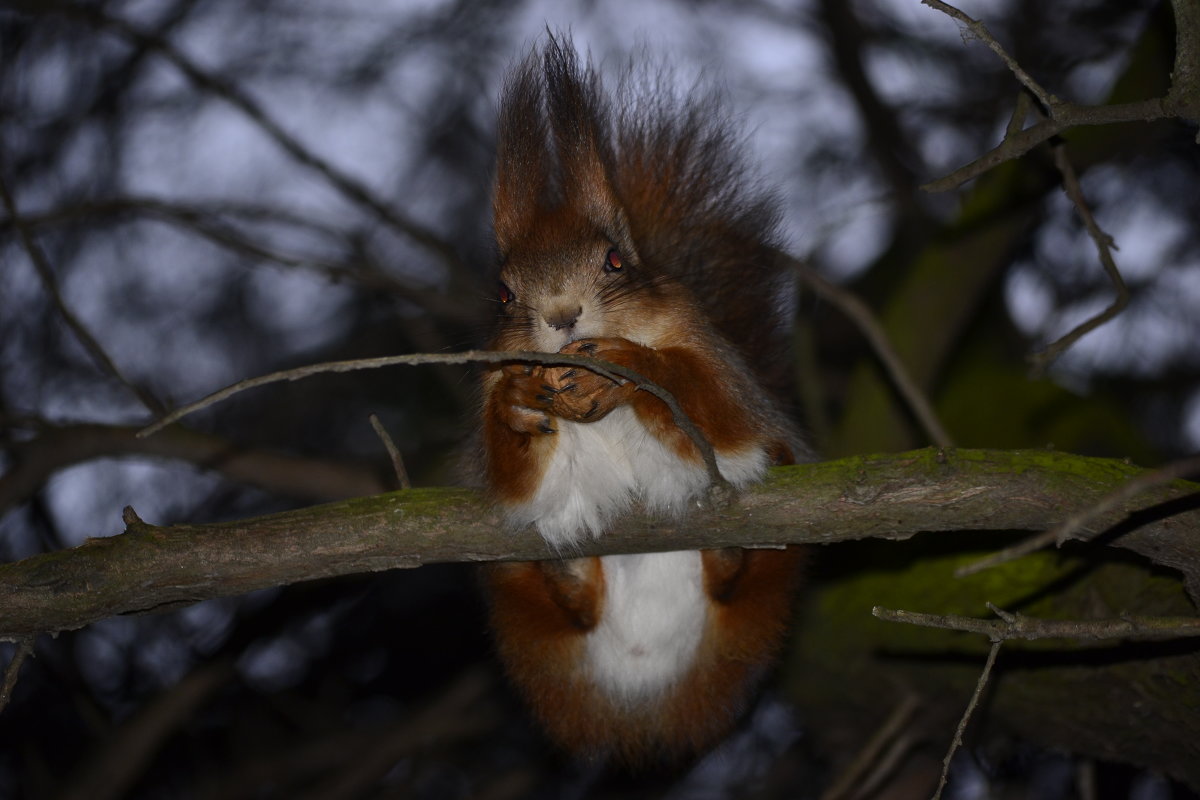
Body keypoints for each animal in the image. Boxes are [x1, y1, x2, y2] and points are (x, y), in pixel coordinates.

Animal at [477, 35, 806, 762]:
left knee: (735, 583)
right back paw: (569, 579)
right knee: (574, 610)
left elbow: (718, 411)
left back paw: (730, 557)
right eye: (505, 294)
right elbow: (516, 481)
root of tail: (644, 691)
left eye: (615, 262)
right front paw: (518, 402)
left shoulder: (726, 379)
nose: (562, 316)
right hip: (522, 602)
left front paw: (632, 365)